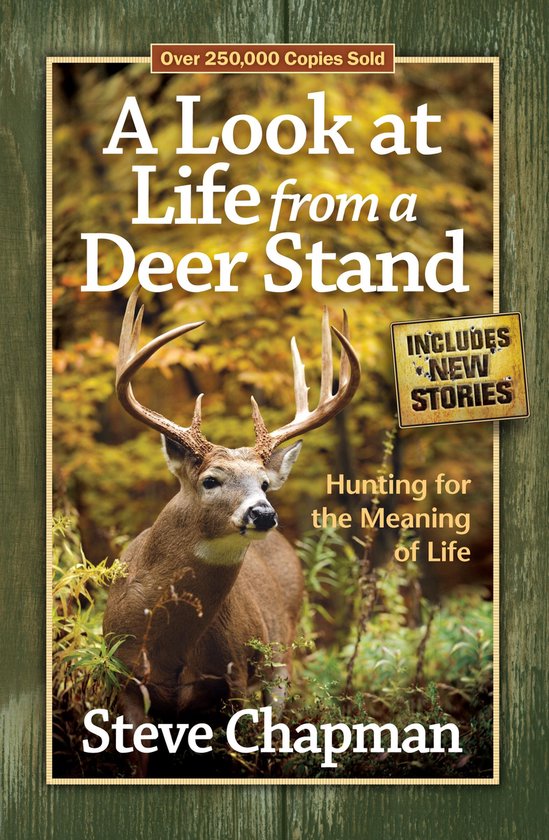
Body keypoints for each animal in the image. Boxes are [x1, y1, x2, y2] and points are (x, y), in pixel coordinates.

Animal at [102, 288, 360, 775]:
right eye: (210, 480)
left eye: (264, 482)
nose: (263, 513)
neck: (170, 645)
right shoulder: (126, 684)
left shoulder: (233, 678)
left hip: (281, 658)